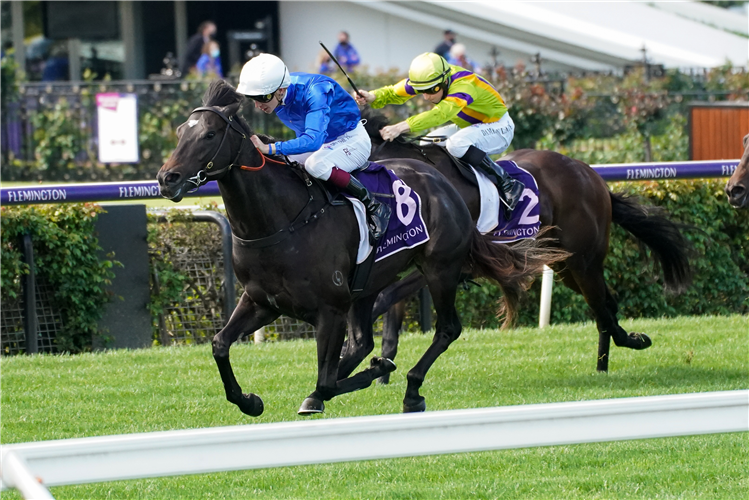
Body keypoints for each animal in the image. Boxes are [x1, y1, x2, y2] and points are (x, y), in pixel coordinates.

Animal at [159, 81, 568, 414]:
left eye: (210, 134)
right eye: (180, 132)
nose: (167, 178)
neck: (280, 222)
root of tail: (441, 181)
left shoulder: (330, 309)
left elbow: (326, 380)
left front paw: (364, 375)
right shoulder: (262, 302)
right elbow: (219, 344)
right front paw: (249, 401)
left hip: (440, 269)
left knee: (447, 329)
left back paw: (411, 389)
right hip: (369, 284)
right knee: (362, 342)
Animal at [360, 110, 688, 376]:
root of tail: (590, 174)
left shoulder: (446, 264)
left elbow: (384, 298)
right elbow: (387, 305)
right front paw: (379, 364)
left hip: (584, 262)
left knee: (602, 305)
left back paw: (626, 345)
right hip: (566, 267)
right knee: (606, 304)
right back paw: (604, 364)